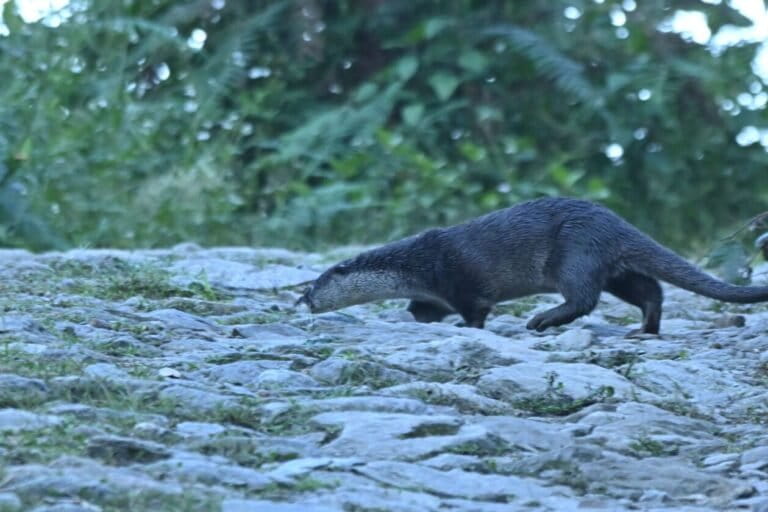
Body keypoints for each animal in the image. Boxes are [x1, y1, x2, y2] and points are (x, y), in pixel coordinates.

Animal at [296, 197, 768, 334]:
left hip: (576, 251)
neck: (415, 265)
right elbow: (421, 309)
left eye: (313, 285)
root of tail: (613, 221)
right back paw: (644, 330)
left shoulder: (458, 280)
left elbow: (475, 311)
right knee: (649, 290)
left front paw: (466, 329)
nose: (304, 302)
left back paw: (542, 320)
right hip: (611, 265)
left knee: (583, 298)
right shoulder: (432, 292)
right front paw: (418, 318)